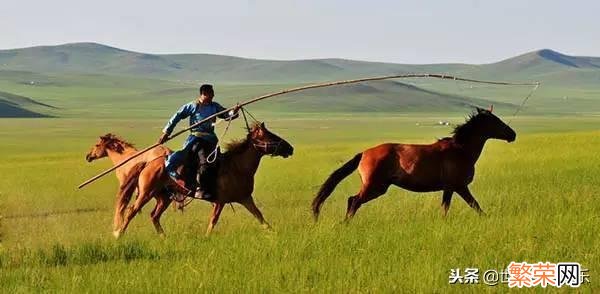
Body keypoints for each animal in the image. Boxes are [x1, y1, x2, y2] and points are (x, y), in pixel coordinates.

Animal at [115, 122, 292, 239]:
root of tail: (148, 162)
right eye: (271, 136)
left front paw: (273, 232)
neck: (237, 167)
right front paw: (207, 237)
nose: (290, 148)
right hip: (146, 193)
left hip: (164, 197)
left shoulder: (245, 198)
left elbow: (259, 216)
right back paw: (119, 235)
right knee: (131, 211)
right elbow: (213, 220)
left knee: (154, 216)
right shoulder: (220, 201)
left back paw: (164, 237)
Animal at [312, 109, 512, 222]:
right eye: (496, 121)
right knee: (353, 201)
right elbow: (474, 204)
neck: (461, 150)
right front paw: (487, 219)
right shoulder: (459, 186)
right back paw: (345, 224)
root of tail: (364, 153)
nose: (513, 134)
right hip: (374, 186)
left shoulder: (449, 188)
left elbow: (445, 207)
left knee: (352, 201)